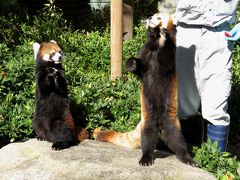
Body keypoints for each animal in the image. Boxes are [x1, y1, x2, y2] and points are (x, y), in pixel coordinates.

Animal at [93, 13, 196, 167]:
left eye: (159, 18)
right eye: (153, 15)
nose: (149, 19)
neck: (158, 43)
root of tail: (160, 124)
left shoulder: (171, 57)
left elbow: (168, 57)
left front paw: (164, 33)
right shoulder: (146, 54)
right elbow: (139, 68)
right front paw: (132, 63)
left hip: (170, 119)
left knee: (177, 138)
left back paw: (186, 157)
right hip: (148, 117)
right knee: (148, 138)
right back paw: (146, 157)